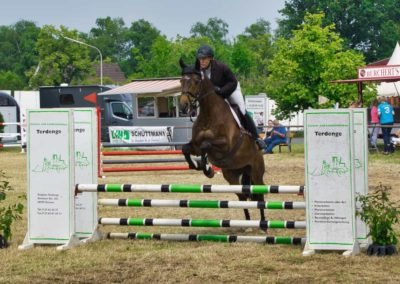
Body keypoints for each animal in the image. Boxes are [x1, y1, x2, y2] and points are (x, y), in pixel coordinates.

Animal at [178, 60, 266, 223]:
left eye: (196, 81)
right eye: (180, 81)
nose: (183, 106)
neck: (209, 114)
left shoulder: (225, 145)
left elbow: (206, 145)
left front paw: (207, 168)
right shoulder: (195, 146)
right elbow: (186, 149)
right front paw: (199, 166)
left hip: (256, 172)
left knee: (260, 196)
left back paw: (263, 224)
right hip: (231, 175)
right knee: (242, 197)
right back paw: (248, 222)